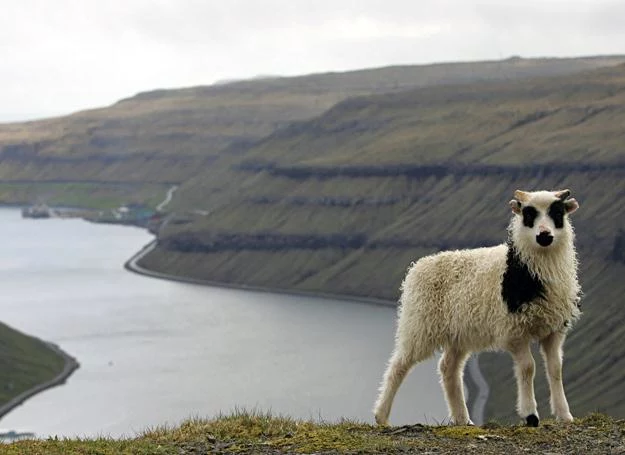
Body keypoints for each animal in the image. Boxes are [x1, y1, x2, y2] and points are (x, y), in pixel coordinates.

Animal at [370, 188, 580, 428]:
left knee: (448, 368)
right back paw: (381, 416)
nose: (544, 235)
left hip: (458, 334)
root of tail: (418, 266)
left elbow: (556, 369)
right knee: (399, 365)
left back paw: (462, 418)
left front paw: (565, 415)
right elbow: (528, 368)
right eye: (528, 214)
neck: (529, 271)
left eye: (557, 213)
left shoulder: (554, 330)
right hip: (420, 326)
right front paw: (530, 415)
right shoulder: (515, 331)